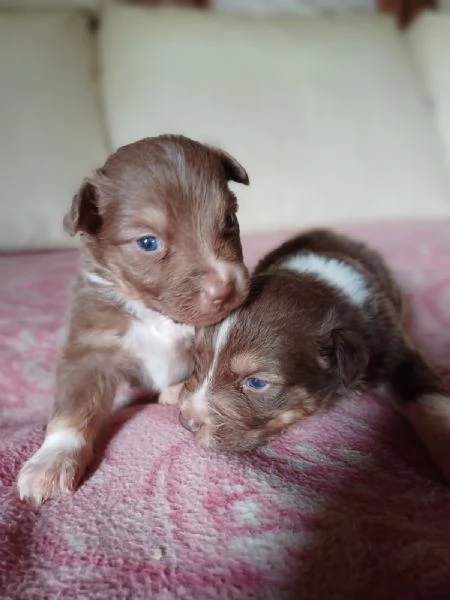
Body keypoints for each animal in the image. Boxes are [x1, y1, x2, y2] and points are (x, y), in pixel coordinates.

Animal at [17, 135, 250, 502]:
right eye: (148, 242)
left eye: (228, 220)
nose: (225, 288)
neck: (156, 315)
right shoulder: (88, 350)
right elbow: (72, 411)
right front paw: (51, 461)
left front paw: (182, 391)